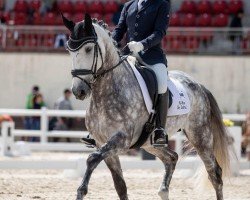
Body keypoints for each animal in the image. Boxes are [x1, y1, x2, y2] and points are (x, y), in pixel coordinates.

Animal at [62, 13, 230, 200]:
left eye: (89, 49)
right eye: (70, 51)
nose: (78, 91)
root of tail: (199, 85)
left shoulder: (121, 139)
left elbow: (92, 158)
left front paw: (81, 191)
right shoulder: (101, 142)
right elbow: (120, 186)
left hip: (200, 136)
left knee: (215, 173)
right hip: (150, 144)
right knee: (172, 158)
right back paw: (163, 190)